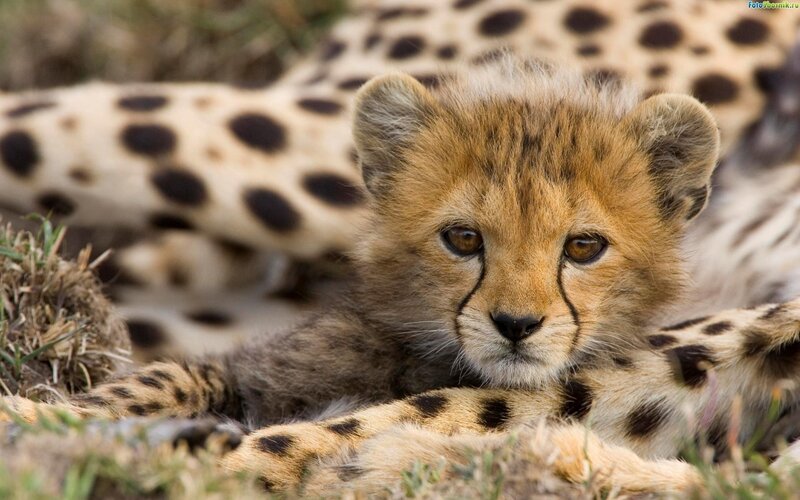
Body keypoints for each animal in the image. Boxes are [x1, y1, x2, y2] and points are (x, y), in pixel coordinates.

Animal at [5, 60, 800, 495]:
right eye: (463, 238)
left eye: (583, 246)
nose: (516, 325)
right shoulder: (256, 369)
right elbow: (170, 377)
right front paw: (57, 420)